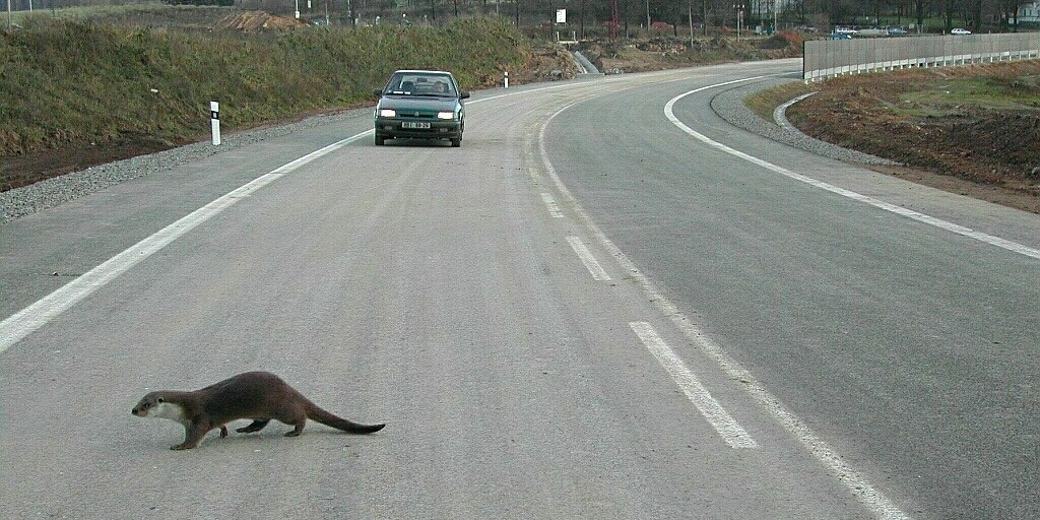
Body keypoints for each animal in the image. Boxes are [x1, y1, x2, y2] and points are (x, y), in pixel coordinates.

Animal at [132, 370, 384, 451]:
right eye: (138, 401)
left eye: (146, 405)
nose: (133, 411)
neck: (182, 408)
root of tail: (289, 389)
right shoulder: (189, 421)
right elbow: (219, 425)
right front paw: (224, 433)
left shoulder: (199, 416)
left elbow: (196, 435)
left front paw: (181, 446)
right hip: (261, 410)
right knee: (261, 421)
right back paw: (245, 429)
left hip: (281, 407)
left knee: (299, 416)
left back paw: (294, 432)